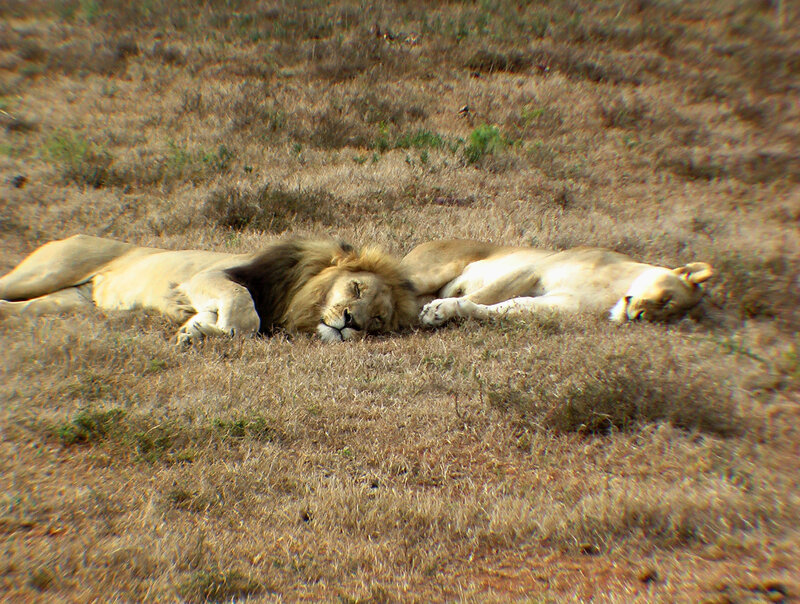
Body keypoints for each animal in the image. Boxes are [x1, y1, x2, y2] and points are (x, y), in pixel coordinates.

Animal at [0, 235, 418, 344]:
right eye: (356, 288)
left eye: (377, 320)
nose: (351, 322)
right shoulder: (207, 276)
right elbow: (244, 310)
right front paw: (216, 330)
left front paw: (196, 331)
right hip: (50, 269)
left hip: (66, 303)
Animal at [401, 240, 714, 326]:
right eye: (666, 299)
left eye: (665, 318)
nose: (639, 317)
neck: (614, 291)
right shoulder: (535, 268)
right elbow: (483, 295)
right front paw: (439, 309)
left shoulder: (559, 305)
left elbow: (501, 307)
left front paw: (445, 310)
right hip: (423, 274)